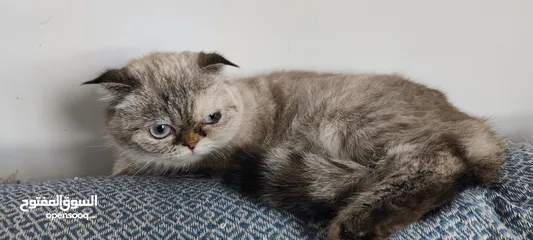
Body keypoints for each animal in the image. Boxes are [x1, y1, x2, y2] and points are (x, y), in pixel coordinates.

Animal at [82, 51, 502, 239]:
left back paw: (354, 225)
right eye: (160, 130)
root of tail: (478, 129)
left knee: (436, 166)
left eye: (211, 118)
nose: (191, 144)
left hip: (355, 127)